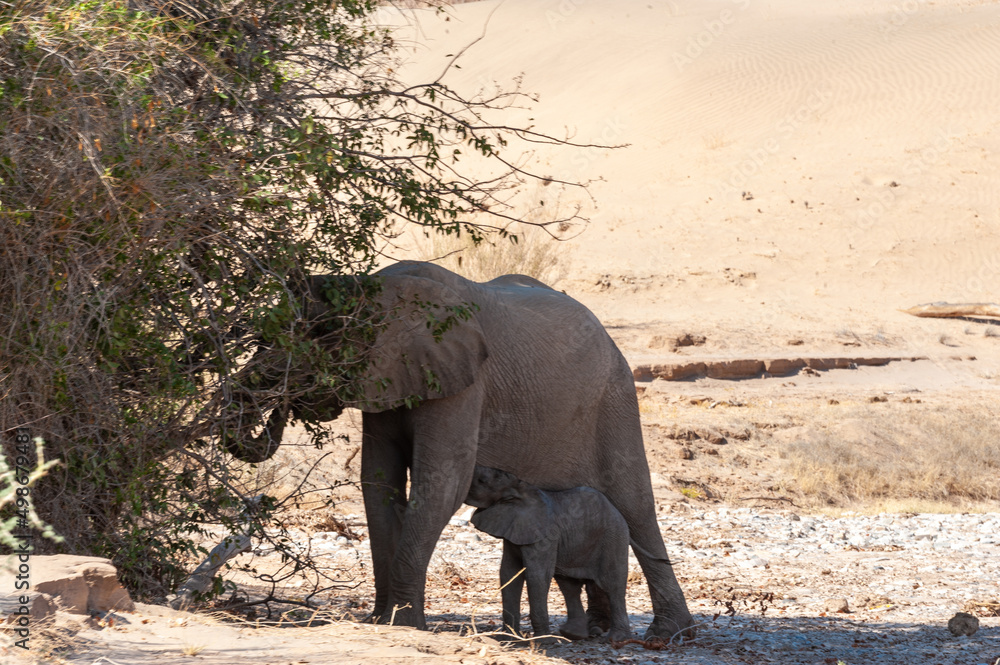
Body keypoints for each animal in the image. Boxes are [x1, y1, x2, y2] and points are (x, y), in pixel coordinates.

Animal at [466, 465, 632, 643]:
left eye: (482, 480)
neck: (521, 488)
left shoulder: (544, 536)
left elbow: (537, 576)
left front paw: (542, 642)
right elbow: (508, 573)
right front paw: (508, 638)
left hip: (614, 537)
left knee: (613, 586)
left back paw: (616, 639)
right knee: (569, 585)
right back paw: (572, 634)